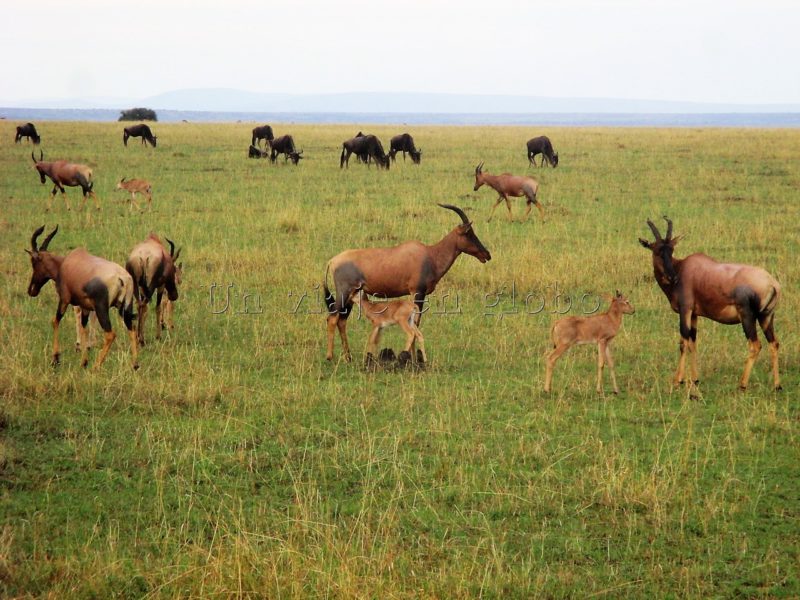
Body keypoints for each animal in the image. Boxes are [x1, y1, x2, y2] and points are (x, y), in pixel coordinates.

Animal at [25, 226, 139, 370]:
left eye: (34, 262)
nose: (31, 290)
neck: (66, 264)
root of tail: (122, 277)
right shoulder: (85, 307)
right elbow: (83, 327)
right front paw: (83, 362)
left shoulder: (64, 299)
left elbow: (55, 321)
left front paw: (55, 358)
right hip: (125, 307)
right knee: (132, 328)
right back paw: (135, 364)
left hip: (101, 308)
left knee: (110, 334)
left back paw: (96, 366)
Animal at [324, 204, 488, 360]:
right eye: (469, 233)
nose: (487, 254)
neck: (429, 255)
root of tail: (332, 261)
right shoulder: (418, 292)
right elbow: (416, 322)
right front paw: (413, 359)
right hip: (344, 292)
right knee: (332, 318)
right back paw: (330, 357)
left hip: (353, 294)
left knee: (342, 321)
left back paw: (348, 357)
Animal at [640, 218, 784, 392]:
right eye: (657, 251)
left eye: (671, 250)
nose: (672, 278)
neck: (682, 268)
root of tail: (772, 283)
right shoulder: (694, 314)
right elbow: (693, 343)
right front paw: (695, 379)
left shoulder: (685, 310)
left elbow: (683, 342)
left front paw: (678, 380)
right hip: (766, 317)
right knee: (774, 343)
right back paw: (777, 385)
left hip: (747, 317)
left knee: (755, 345)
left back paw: (742, 385)